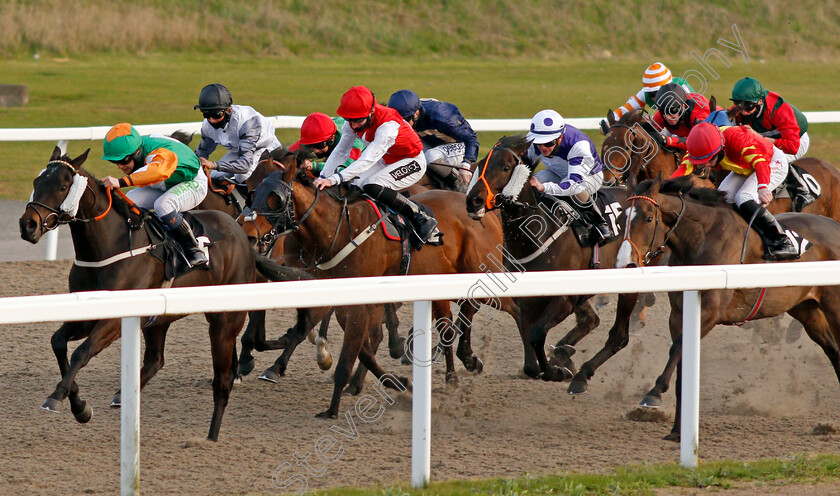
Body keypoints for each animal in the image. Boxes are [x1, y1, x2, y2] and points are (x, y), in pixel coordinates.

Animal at [19, 147, 254, 442]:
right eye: (37, 182)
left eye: (62, 186)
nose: (27, 225)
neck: (109, 246)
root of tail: (239, 230)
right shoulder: (87, 313)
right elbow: (58, 342)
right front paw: (79, 405)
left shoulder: (113, 320)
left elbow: (82, 352)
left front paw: (58, 396)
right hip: (158, 319)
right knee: (156, 359)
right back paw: (122, 395)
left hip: (225, 320)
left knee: (222, 380)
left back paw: (211, 437)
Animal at [251, 148, 524, 418]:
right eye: (252, 192)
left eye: (275, 199)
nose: (251, 234)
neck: (339, 230)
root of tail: (484, 213)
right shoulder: (341, 300)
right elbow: (362, 348)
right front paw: (398, 382)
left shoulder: (358, 302)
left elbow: (350, 353)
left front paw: (332, 408)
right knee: (448, 326)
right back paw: (454, 375)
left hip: (482, 272)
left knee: (513, 308)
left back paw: (531, 364)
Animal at [466, 134, 656, 394]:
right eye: (481, 162)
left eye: (505, 167)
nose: (472, 201)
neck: (537, 233)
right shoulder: (527, 300)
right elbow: (529, 356)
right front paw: (554, 364)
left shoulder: (564, 299)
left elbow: (536, 335)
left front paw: (556, 372)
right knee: (590, 320)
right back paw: (564, 352)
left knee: (618, 336)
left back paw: (580, 372)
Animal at [616, 176, 840, 440]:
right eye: (620, 219)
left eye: (649, 218)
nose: (625, 264)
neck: (701, 239)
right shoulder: (678, 313)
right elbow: (681, 361)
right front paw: (677, 430)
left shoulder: (711, 311)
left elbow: (676, 349)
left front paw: (653, 395)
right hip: (807, 310)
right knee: (834, 351)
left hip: (833, 304)